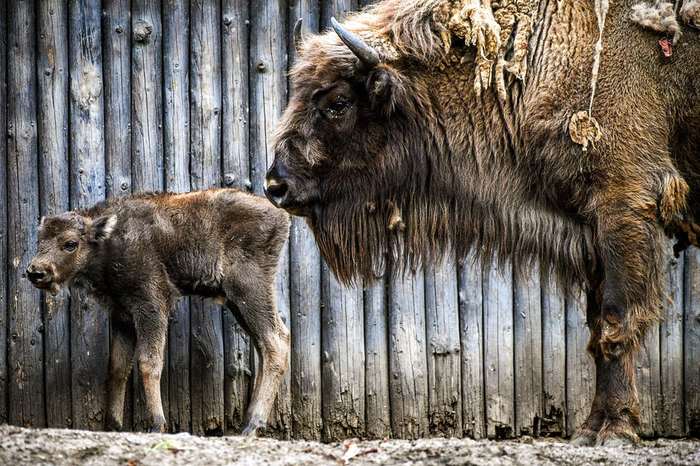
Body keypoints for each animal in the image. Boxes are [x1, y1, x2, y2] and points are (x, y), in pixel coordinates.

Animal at [27, 187, 290, 436]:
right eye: (39, 241)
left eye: (70, 244)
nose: (36, 272)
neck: (109, 241)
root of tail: (280, 215)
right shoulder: (122, 316)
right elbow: (118, 368)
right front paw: (113, 425)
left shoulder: (151, 306)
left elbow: (148, 362)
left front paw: (156, 424)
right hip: (238, 302)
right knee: (269, 343)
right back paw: (249, 421)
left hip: (249, 290)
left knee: (275, 342)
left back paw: (252, 426)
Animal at [266, 0, 696, 446]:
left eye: (337, 103)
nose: (276, 185)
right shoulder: (592, 234)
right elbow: (596, 329)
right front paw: (589, 429)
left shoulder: (623, 204)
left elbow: (616, 321)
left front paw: (614, 429)